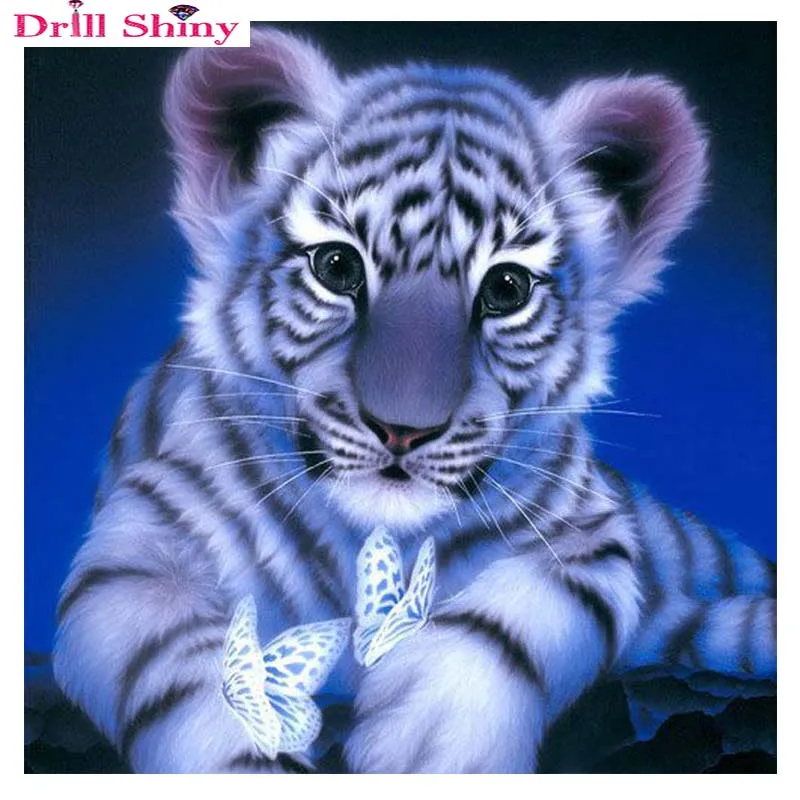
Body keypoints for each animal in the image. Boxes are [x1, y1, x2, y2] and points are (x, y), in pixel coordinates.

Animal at [52, 27, 776, 774]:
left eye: (507, 288)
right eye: (336, 266)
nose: (402, 430)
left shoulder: (591, 535)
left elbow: (511, 619)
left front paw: (432, 742)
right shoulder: (138, 546)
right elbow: (191, 669)